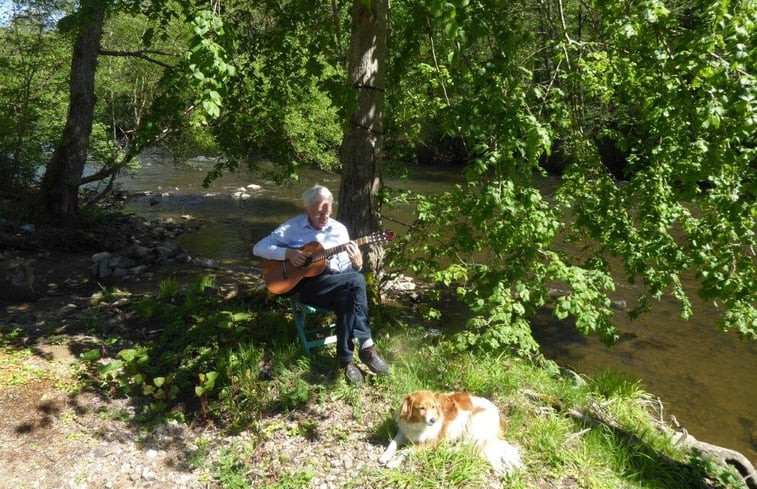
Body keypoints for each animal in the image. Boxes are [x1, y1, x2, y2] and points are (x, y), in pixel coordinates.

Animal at [376, 388, 520, 472]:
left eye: (433, 407)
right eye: (421, 408)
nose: (433, 420)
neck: (418, 425)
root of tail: (498, 413)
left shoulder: (432, 441)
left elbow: (406, 450)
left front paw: (394, 462)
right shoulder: (404, 432)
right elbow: (392, 444)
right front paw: (385, 456)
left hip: (473, 423)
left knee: (468, 446)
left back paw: (447, 449)